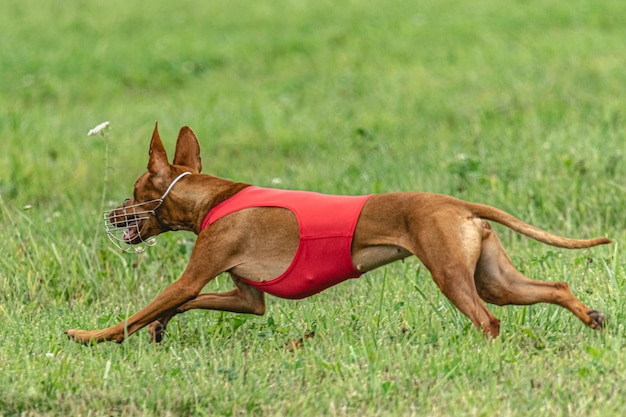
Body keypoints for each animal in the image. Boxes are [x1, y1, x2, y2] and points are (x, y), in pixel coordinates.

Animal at [66, 124, 608, 344]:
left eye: (134, 192)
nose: (112, 216)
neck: (214, 199)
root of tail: (457, 204)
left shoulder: (193, 275)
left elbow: (140, 311)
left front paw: (88, 336)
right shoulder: (246, 298)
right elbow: (184, 305)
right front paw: (160, 327)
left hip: (453, 276)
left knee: (488, 322)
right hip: (495, 279)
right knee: (553, 287)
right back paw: (592, 317)